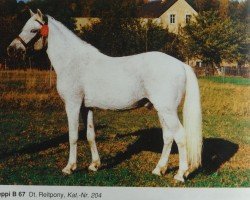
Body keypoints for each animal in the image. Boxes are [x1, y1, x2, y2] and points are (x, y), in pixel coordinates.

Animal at [8, 10, 203, 182]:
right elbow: (90, 135)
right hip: (161, 110)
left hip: (167, 111)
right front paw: (94, 165)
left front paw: (69, 167)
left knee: (180, 136)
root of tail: (180, 64)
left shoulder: (72, 104)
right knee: (168, 137)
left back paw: (180, 174)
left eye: (33, 30)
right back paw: (159, 169)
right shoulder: (86, 107)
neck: (73, 62)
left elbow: (73, 136)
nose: (12, 49)